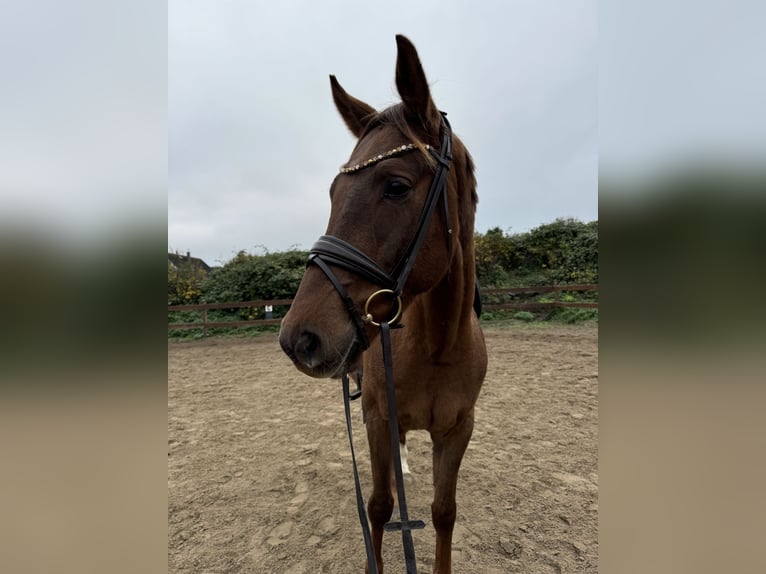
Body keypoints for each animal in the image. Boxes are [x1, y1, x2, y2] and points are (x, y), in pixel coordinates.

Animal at [280, 33, 488, 572]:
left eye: (396, 186)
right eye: (334, 191)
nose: (298, 339)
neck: (438, 346)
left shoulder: (457, 430)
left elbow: (443, 511)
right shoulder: (376, 417)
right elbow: (377, 504)